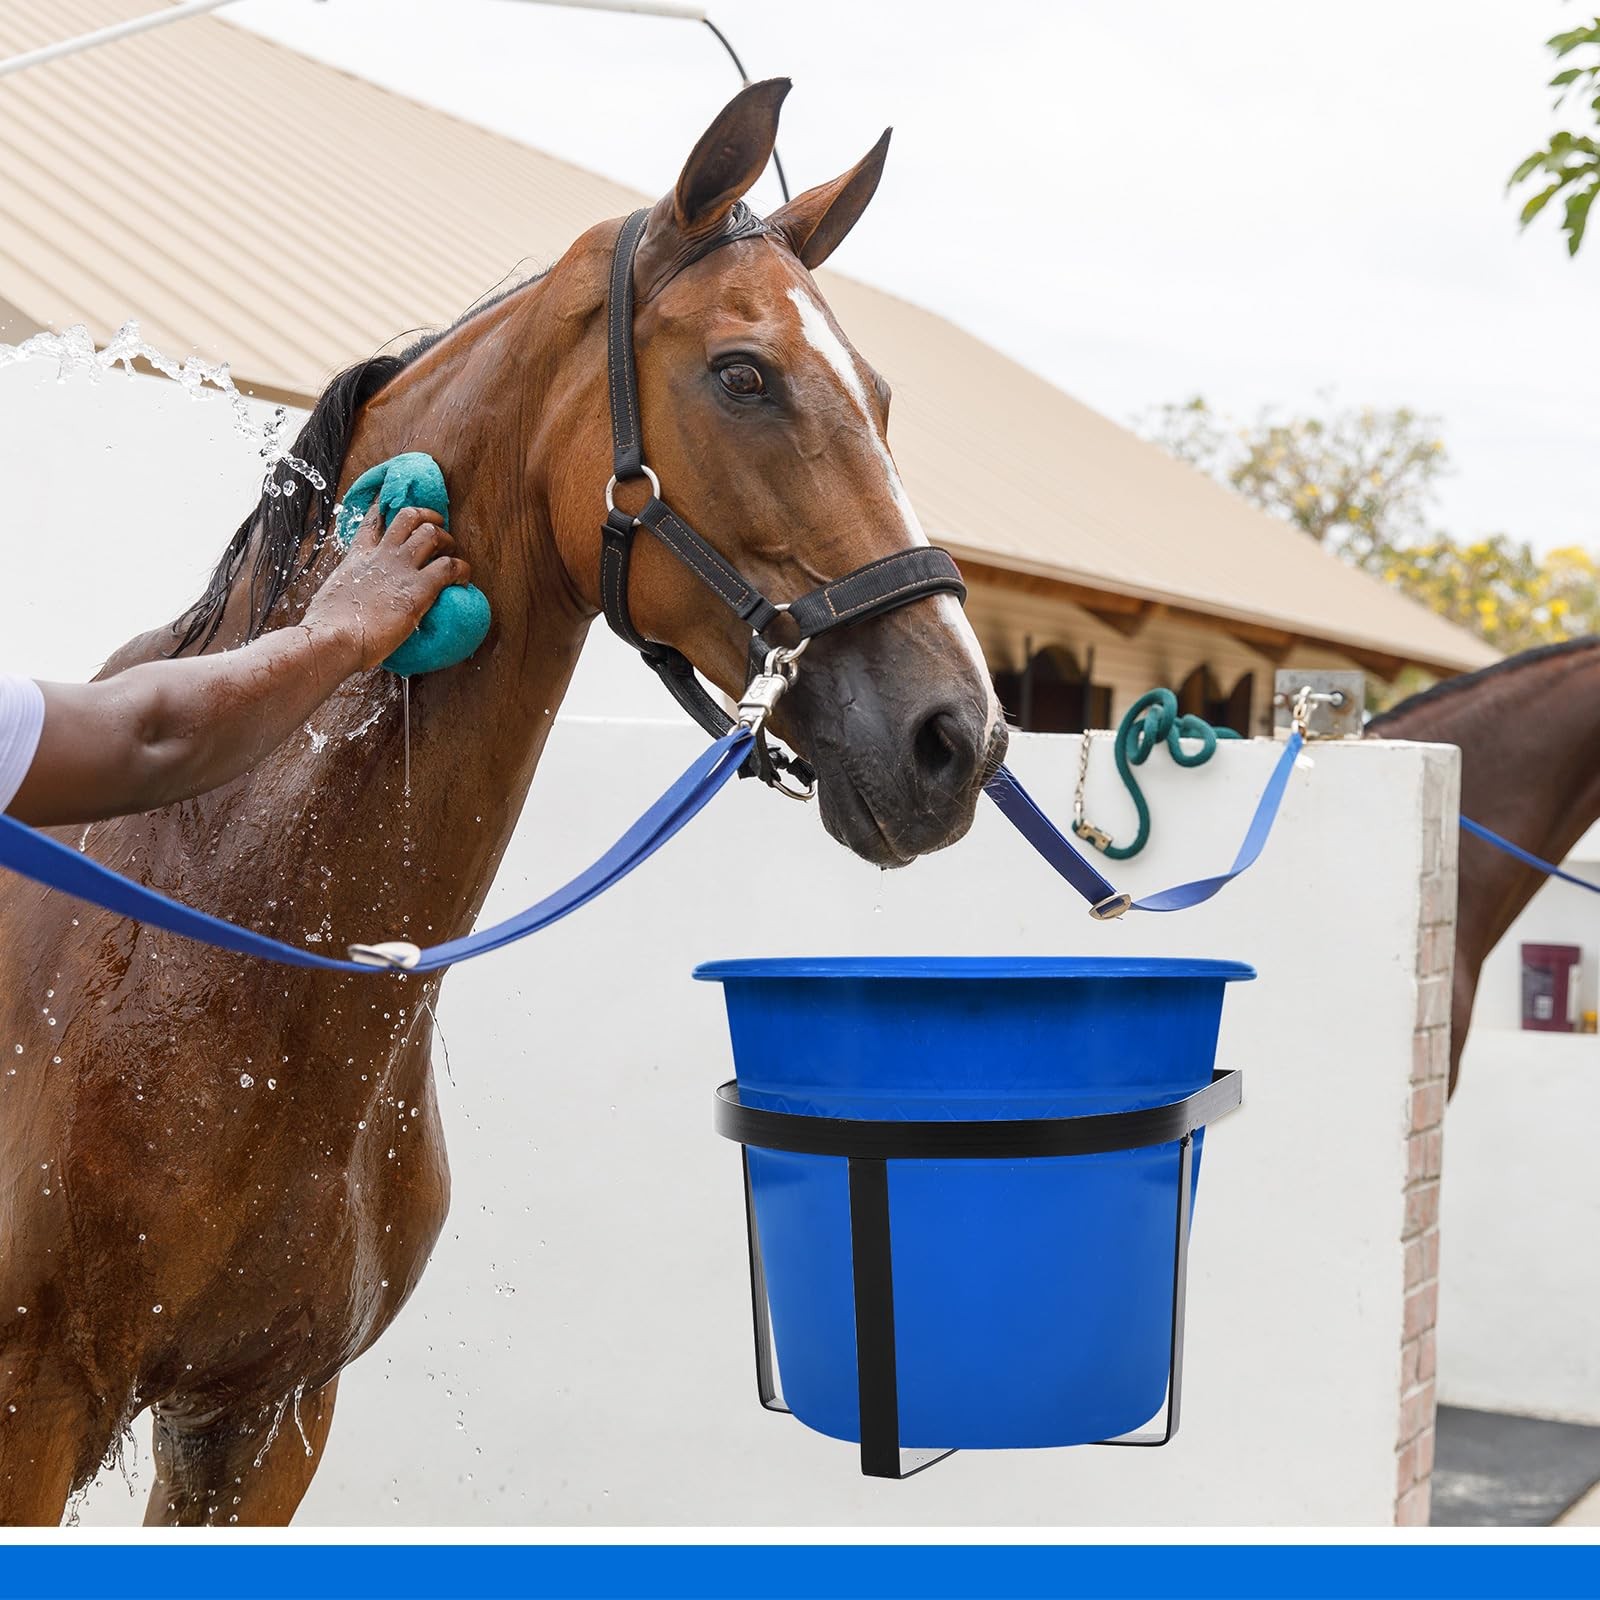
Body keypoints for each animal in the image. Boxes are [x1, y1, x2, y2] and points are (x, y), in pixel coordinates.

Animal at [0, 79, 1004, 1526]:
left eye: (876, 393)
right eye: (742, 374)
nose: (954, 737)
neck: (214, 935)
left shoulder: (263, 1420)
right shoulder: (34, 1411)